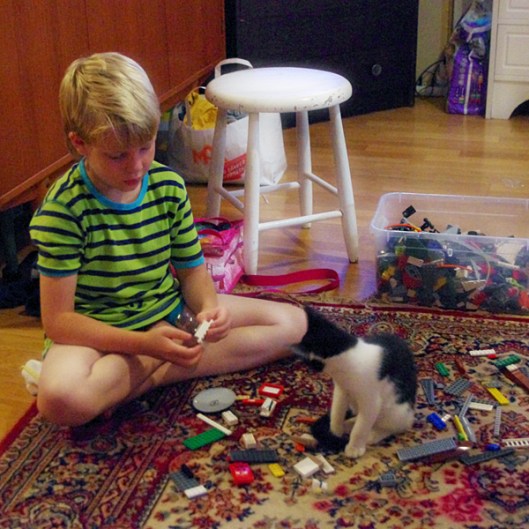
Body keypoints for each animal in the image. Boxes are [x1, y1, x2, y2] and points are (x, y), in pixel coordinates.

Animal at [293, 306, 417, 458]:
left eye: (310, 363)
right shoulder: (341, 391)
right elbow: (337, 411)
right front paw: (335, 431)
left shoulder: (371, 402)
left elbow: (361, 427)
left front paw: (354, 447)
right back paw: (348, 423)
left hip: (396, 411)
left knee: (393, 426)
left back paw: (374, 434)